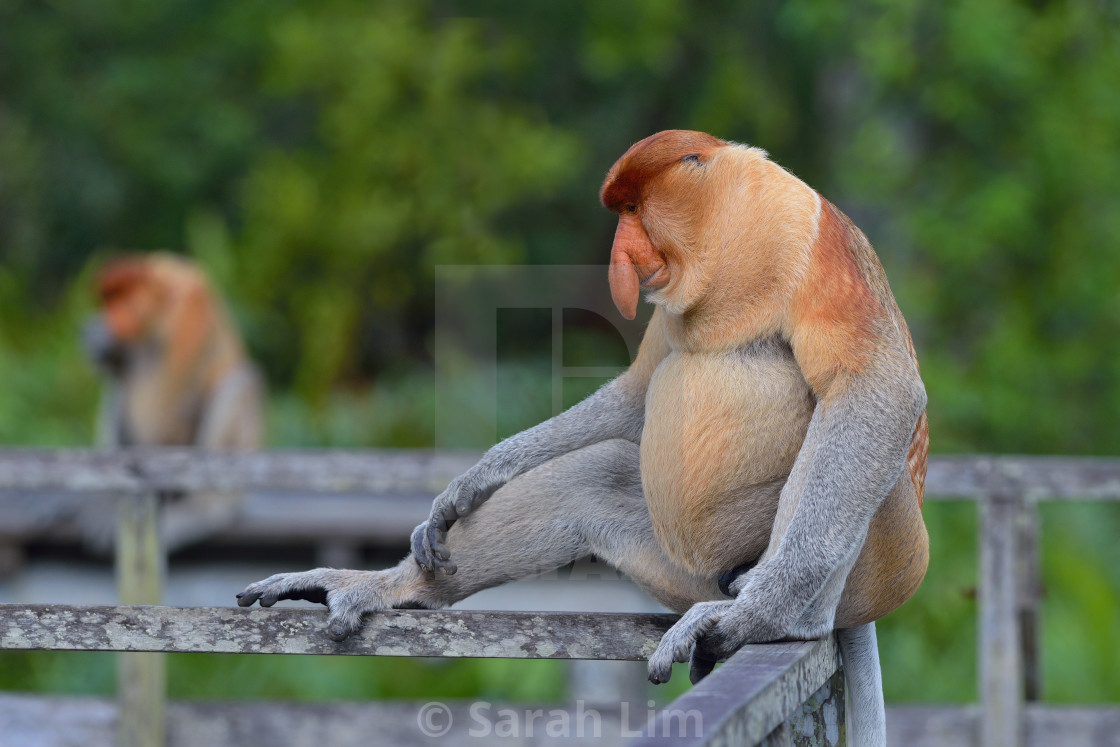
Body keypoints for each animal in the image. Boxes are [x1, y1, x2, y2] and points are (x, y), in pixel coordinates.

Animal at [85, 254, 264, 546]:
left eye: (122, 299)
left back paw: (206, 507)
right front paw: (102, 343)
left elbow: (167, 405)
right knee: (117, 388)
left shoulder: (189, 311)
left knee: (240, 382)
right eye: (108, 301)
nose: (111, 319)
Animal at [238, 131, 927, 743]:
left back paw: (780, 616)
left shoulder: (814, 242)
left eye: (633, 210)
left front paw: (762, 612)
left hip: (878, 555)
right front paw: (474, 482)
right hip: (679, 569)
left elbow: (874, 390)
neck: (732, 226)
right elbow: (636, 391)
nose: (622, 254)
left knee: (848, 435)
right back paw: (384, 588)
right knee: (596, 473)